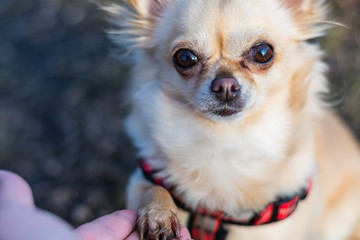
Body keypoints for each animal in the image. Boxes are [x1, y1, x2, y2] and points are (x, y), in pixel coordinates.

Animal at [102, 0, 360, 239]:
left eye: (263, 52)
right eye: (185, 57)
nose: (225, 85)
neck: (226, 139)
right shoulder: (143, 179)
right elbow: (155, 189)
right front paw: (159, 215)